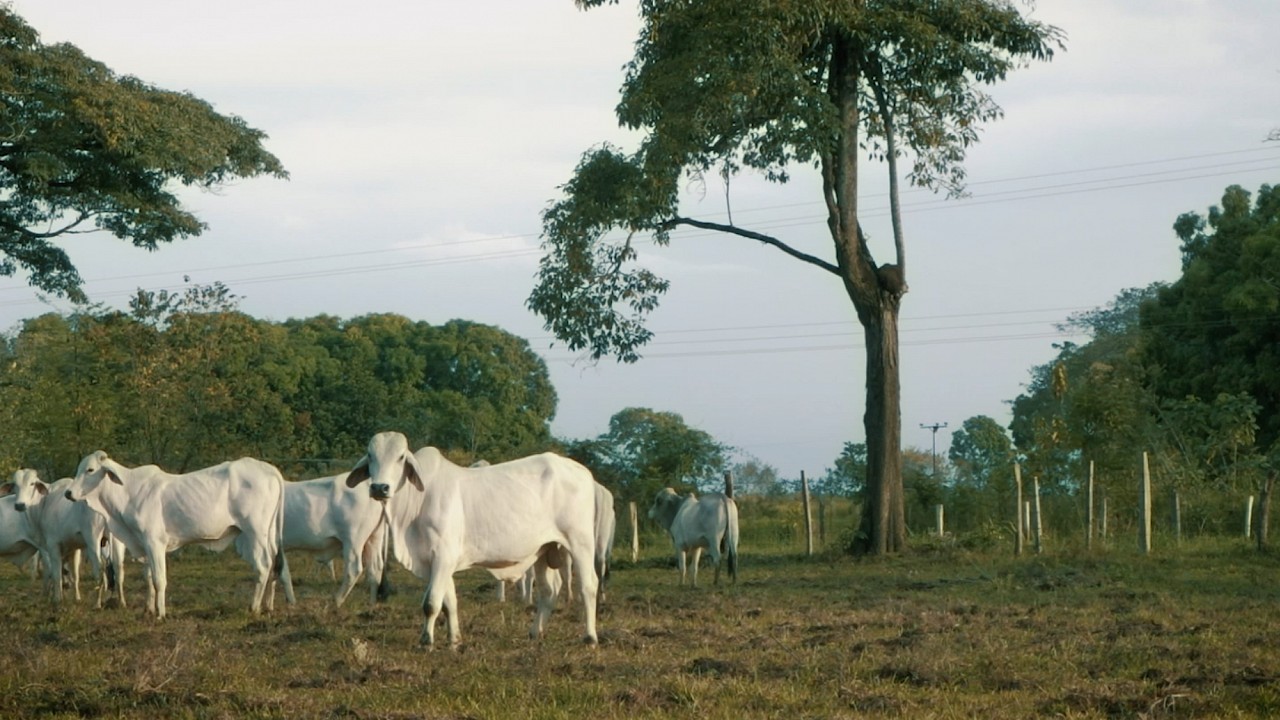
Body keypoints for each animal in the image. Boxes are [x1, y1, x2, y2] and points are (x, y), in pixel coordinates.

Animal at [5, 466, 125, 604]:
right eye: (15, 485)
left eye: (32, 483)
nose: (20, 505)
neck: (44, 503)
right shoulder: (74, 548)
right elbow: (74, 575)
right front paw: (76, 598)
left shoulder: (52, 545)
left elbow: (56, 574)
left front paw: (57, 599)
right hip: (116, 540)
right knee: (118, 568)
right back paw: (121, 602)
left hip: (93, 539)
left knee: (99, 569)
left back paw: (97, 603)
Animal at [64, 450, 285, 614]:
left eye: (90, 470)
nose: (68, 493)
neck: (129, 492)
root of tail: (270, 469)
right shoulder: (144, 545)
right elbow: (149, 578)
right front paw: (149, 609)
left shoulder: (155, 543)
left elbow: (159, 579)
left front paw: (161, 613)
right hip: (269, 533)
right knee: (274, 564)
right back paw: (268, 606)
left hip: (256, 531)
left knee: (263, 566)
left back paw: (254, 607)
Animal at [282, 471, 391, 604]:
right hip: (374, 538)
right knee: (375, 569)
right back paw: (372, 603)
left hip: (353, 540)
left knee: (353, 570)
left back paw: (337, 600)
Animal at [343, 430, 596, 645]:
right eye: (370, 455)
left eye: (401, 457)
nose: (379, 488)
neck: (416, 503)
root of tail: (582, 471)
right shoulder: (437, 561)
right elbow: (449, 602)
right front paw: (454, 640)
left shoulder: (444, 555)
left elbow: (431, 603)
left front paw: (426, 641)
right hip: (545, 548)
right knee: (549, 590)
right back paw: (535, 633)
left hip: (580, 542)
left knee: (588, 586)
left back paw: (590, 637)